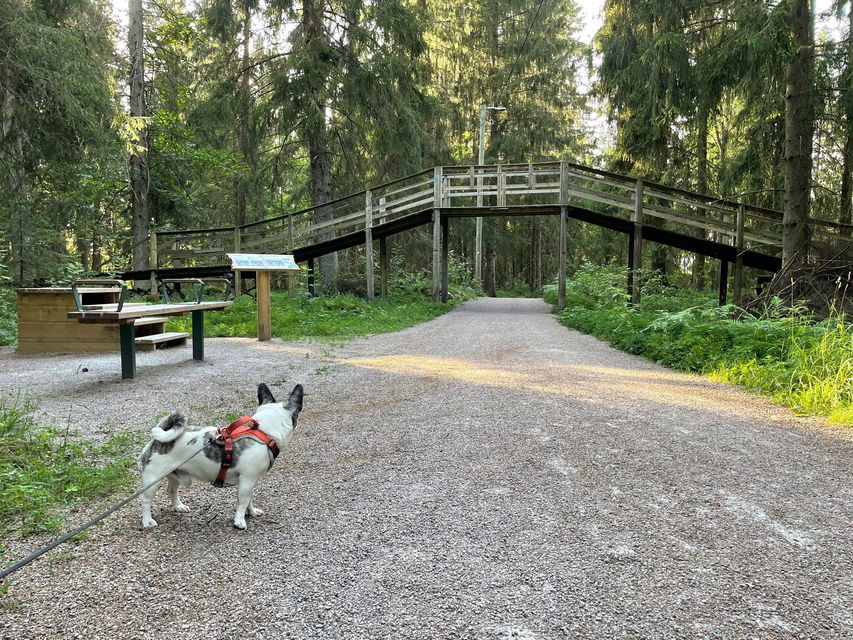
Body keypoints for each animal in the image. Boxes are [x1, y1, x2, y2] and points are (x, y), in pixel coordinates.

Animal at [138, 382, 302, 528]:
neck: (264, 432)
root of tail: (157, 439)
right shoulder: (247, 480)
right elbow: (243, 501)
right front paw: (239, 520)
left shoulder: (249, 481)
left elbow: (249, 499)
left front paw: (252, 512)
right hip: (153, 478)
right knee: (145, 499)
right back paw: (147, 521)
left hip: (174, 474)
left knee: (171, 490)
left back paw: (179, 506)